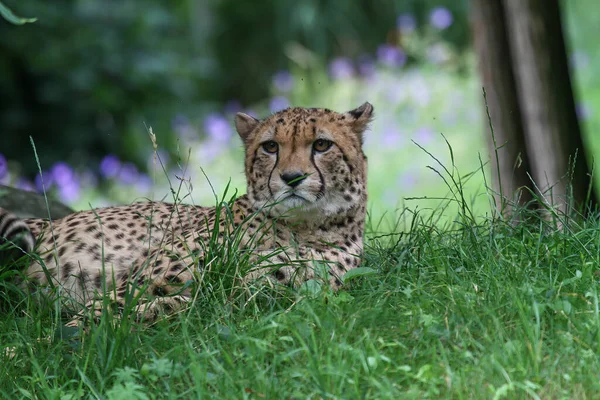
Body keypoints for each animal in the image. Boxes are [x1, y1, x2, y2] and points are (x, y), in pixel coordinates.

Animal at [0, 103, 372, 324]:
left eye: (321, 145)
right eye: (270, 147)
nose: (292, 178)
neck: (299, 228)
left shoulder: (256, 294)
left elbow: (173, 305)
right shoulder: (146, 276)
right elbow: (109, 305)